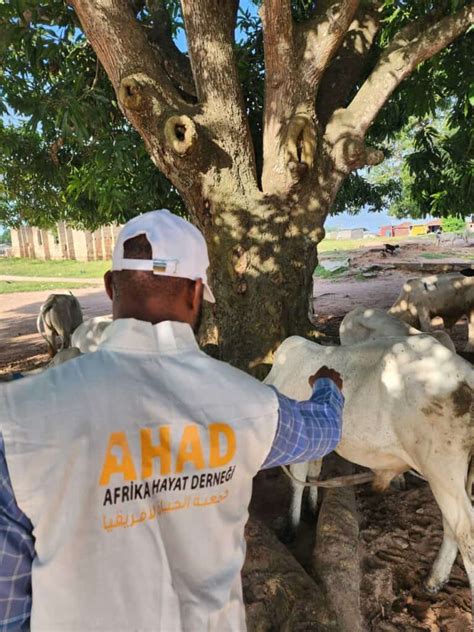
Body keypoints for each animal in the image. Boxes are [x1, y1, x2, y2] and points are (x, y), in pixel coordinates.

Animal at [266, 336, 474, 596]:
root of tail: (466, 377)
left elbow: (297, 482)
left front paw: (291, 528)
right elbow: (314, 472)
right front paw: (313, 509)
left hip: (441, 468)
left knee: (465, 529)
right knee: (451, 524)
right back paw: (434, 580)